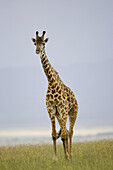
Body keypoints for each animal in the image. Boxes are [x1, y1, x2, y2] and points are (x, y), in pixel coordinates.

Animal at [31, 30, 78, 162]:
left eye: (44, 43)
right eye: (35, 43)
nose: (37, 51)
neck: (52, 83)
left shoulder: (63, 109)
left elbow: (63, 134)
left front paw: (67, 157)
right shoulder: (51, 109)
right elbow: (53, 135)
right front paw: (55, 159)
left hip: (72, 112)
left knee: (70, 132)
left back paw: (70, 155)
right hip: (59, 114)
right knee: (65, 131)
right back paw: (67, 155)